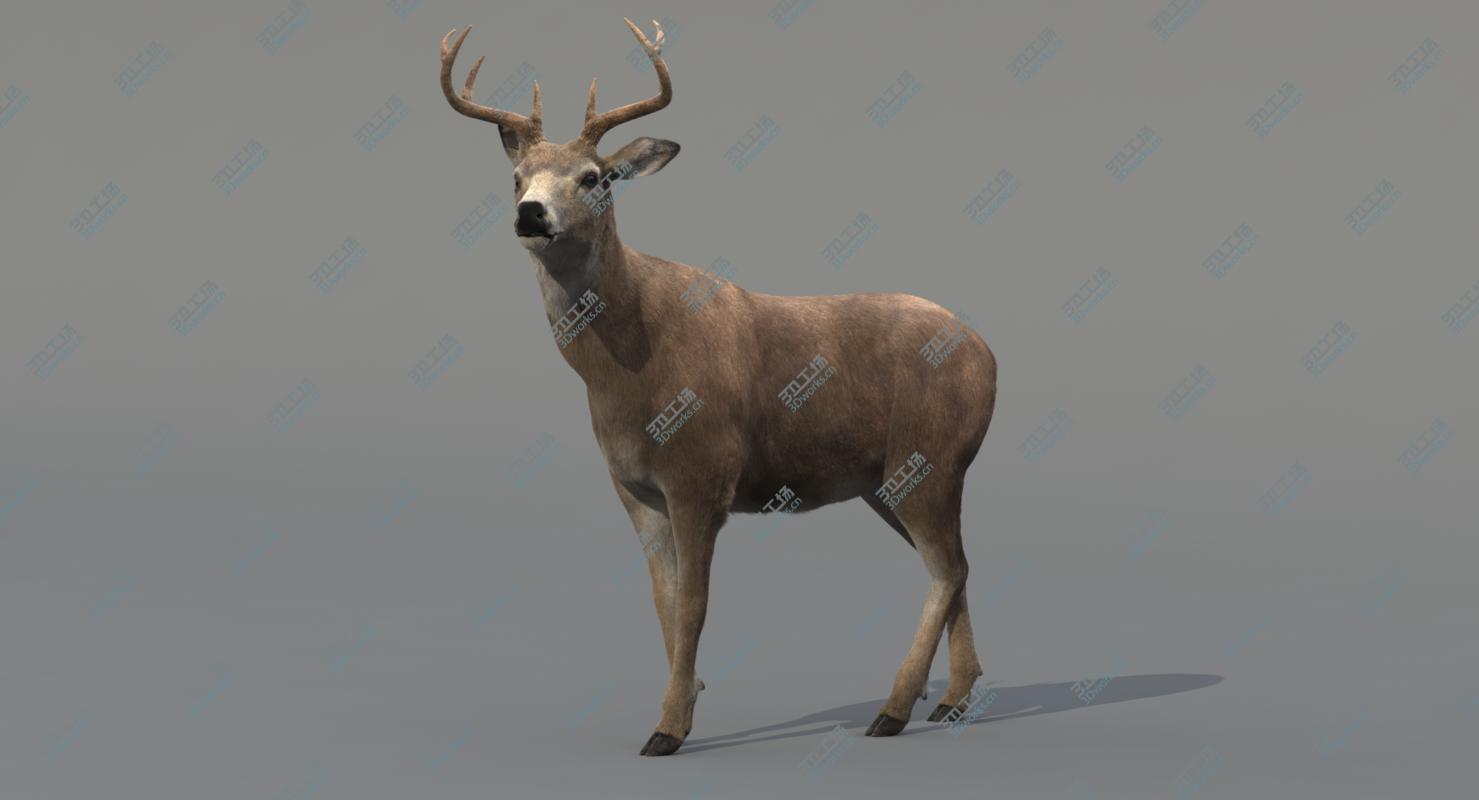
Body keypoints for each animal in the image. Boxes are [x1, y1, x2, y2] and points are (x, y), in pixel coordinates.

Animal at [439, 19, 998, 756]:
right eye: (516, 178)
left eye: (594, 177)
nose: (532, 214)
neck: (630, 366)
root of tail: (988, 352)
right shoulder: (633, 487)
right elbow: (663, 600)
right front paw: (689, 693)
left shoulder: (701, 473)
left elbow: (696, 604)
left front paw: (668, 728)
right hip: (886, 480)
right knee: (954, 567)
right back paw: (952, 701)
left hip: (929, 456)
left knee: (947, 569)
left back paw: (894, 710)